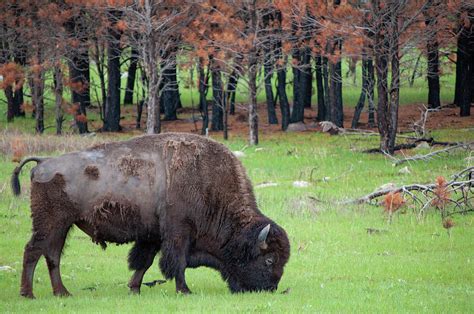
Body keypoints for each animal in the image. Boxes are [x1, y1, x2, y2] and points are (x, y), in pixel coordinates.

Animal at [12, 133, 288, 300]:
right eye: (269, 260)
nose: (270, 289)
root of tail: (43, 162)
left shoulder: (152, 236)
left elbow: (143, 262)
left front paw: (134, 289)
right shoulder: (178, 232)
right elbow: (176, 262)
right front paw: (184, 290)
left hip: (62, 226)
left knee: (52, 255)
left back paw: (62, 293)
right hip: (49, 223)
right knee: (33, 251)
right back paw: (28, 294)